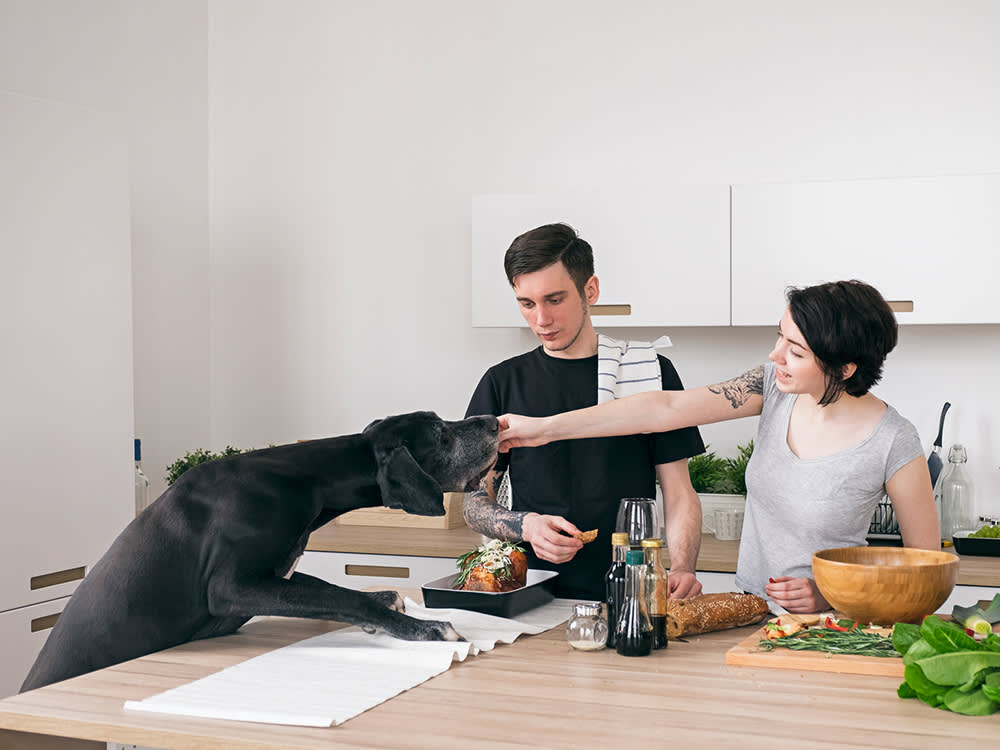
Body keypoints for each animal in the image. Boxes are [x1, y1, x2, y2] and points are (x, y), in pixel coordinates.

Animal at [19, 414, 496, 696]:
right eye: (442, 434)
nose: (491, 420)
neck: (309, 479)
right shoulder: (230, 586)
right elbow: (340, 595)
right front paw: (425, 627)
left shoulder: (277, 570)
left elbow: (330, 588)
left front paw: (383, 599)